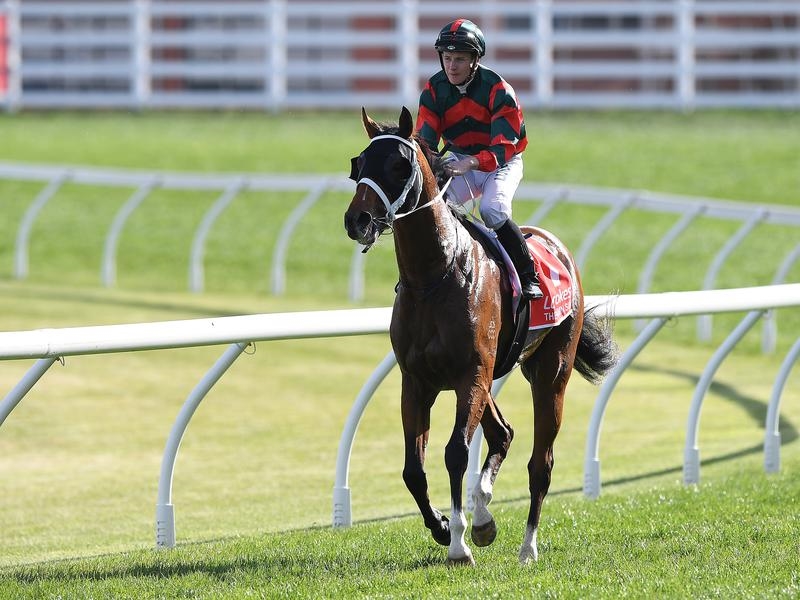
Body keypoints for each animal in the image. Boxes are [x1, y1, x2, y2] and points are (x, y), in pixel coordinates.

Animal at [343, 107, 618, 566]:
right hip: (486, 377)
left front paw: (458, 543)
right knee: (502, 433)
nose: (357, 220)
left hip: (549, 372)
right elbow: (413, 469)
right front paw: (442, 526)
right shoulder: (417, 381)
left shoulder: (471, 373)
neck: (434, 276)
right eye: (358, 165)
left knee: (541, 464)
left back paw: (527, 546)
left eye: (400, 166)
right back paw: (485, 514)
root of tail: (556, 247)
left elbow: (455, 452)